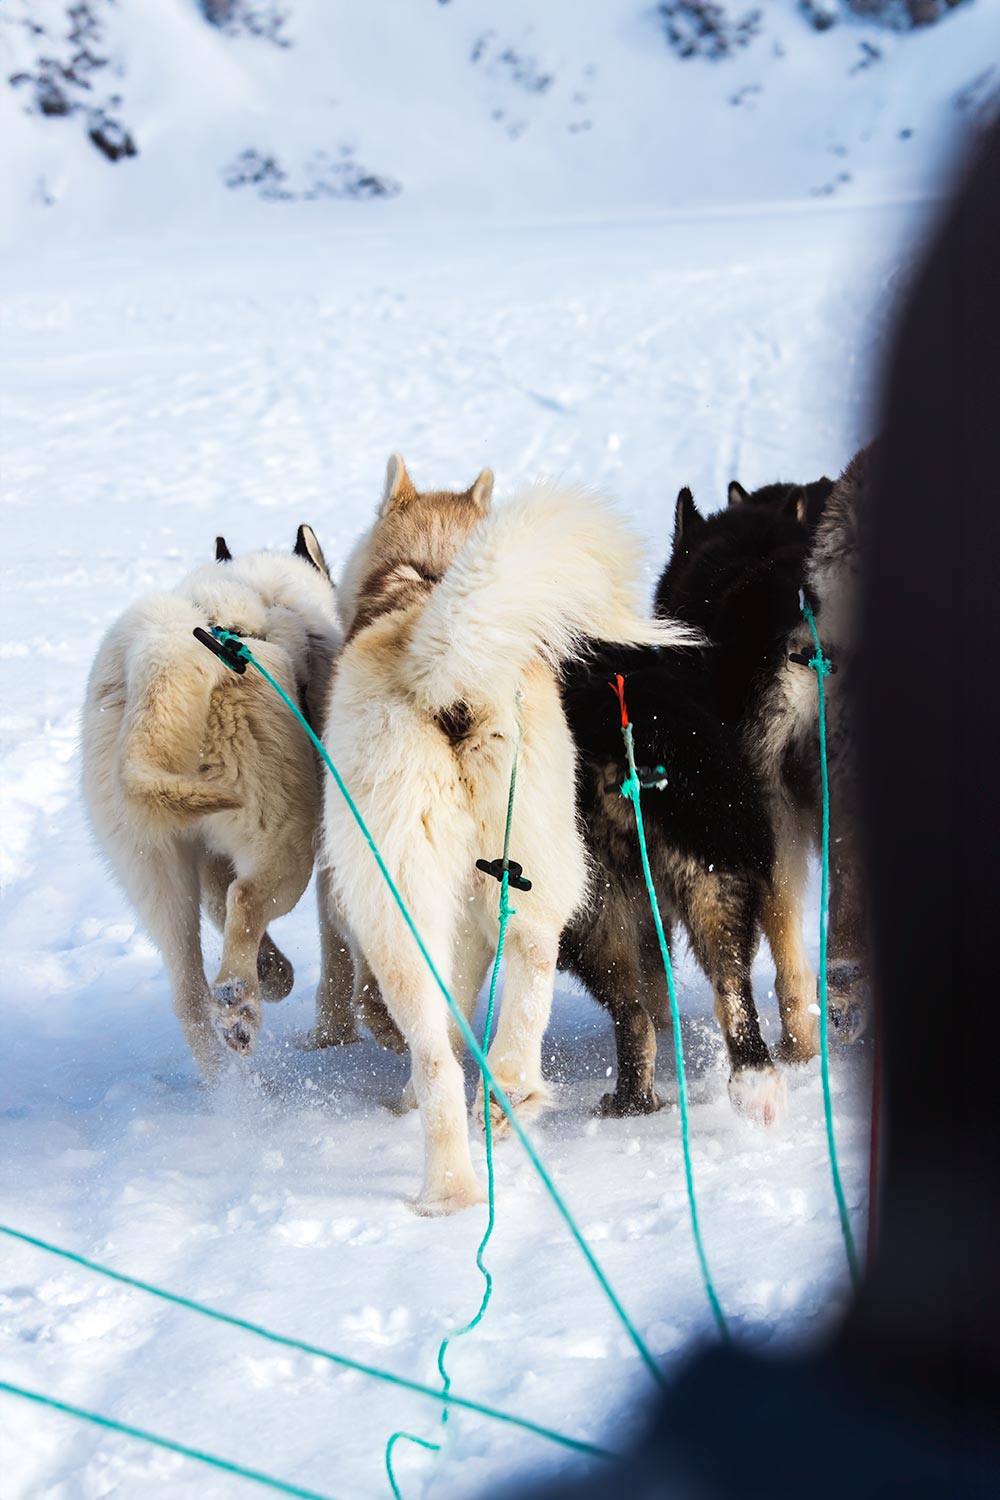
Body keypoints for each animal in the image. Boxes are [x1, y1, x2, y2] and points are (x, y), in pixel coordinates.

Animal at [80, 528, 344, 1080]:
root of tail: (163, 654)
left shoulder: (203, 862)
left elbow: (218, 903)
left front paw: (272, 969)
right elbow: (235, 903)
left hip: (154, 867)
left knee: (188, 993)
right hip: (285, 837)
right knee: (247, 901)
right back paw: (242, 1002)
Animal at [316, 456, 701, 1218]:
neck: (424, 577)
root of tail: (444, 675)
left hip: (396, 911)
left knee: (434, 1054)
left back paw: (454, 1172)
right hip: (537, 863)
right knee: (527, 968)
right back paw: (502, 1103)